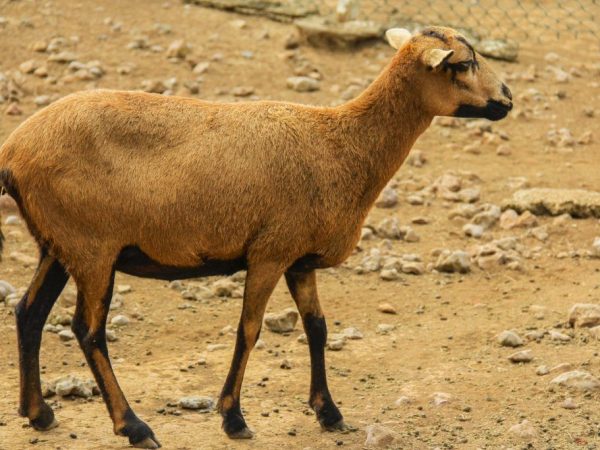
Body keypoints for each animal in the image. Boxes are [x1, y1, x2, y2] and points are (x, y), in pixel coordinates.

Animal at [0, 26, 510, 448]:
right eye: (463, 63)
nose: (507, 98)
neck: (342, 143)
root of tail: (13, 151)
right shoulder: (269, 251)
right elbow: (249, 330)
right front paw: (233, 418)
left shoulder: (299, 259)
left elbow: (317, 328)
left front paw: (329, 412)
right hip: (92, 248)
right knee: (88, 331)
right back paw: (134, 427)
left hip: (57, 244)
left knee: (29, 313)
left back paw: (39, 413)